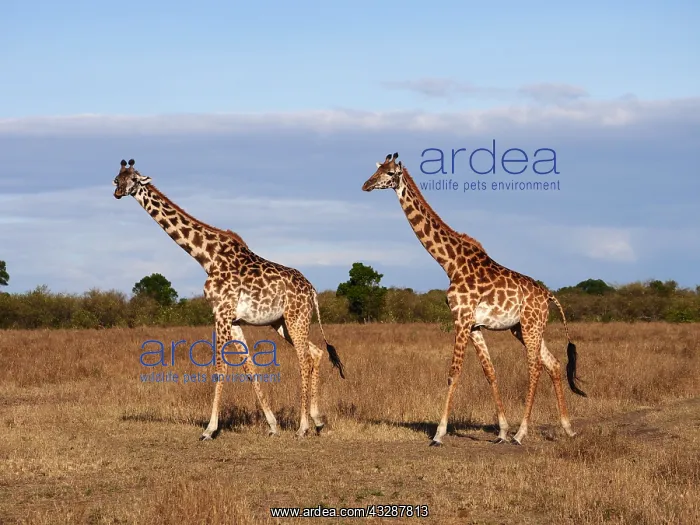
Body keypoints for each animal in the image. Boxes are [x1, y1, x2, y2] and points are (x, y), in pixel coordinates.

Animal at [113, 159, 345, 440]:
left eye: (133, 179)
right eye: (116, 178)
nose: (117, 192)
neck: (206, 256)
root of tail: (312, 290)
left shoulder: (221, 312)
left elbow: (220, 367)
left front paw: (209, 429)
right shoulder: (234, 320)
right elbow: (248, 367)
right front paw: (272, 425)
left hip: (295, 317)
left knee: (305, 359)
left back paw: (302, 427)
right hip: (281, 323)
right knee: (317, 352)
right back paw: (317, 421)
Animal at [361, 153, 586, 446]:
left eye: (389, 173)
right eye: (376, 170)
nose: (365, 185)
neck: (450, 262)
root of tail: (548, 295)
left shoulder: (461, 318)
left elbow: (453, 373)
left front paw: (439, 434)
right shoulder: (475, 325)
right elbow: (489, 372)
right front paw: (501, 431)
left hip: (531, 325)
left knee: (535, 366)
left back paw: (522, 433)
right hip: (523, 328)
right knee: (554, 363)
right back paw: (567, 427)